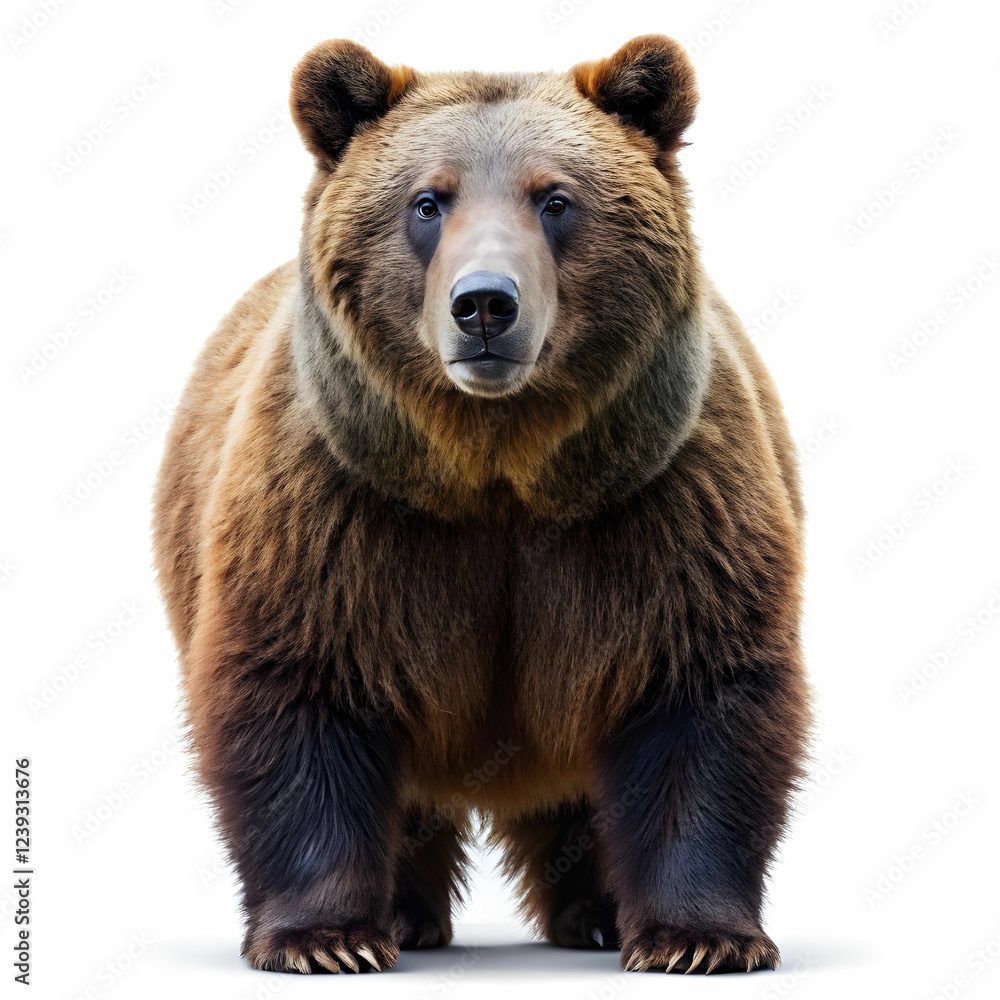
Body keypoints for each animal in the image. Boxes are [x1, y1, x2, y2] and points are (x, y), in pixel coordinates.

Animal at [152, 34, 810, 976]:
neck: (496, 466)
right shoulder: (341, 505)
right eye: (428, 201)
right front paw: (327, 938)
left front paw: (699, 938)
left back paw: (593, 913)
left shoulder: (663, 497)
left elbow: (697, 684)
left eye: (556, 199)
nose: (486, 304)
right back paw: (407, 914)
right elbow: (300, 685)